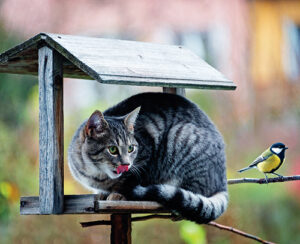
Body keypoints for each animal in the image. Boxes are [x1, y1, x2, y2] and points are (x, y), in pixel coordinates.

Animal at [68, 92, 227, 224]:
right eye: (112, 149)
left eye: (131, 148)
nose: (126, 164)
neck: (97, 174)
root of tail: (222, 180)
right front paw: (102, 194)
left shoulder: (147, 157)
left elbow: (134, 180)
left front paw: (119, 194)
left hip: (181, 136)